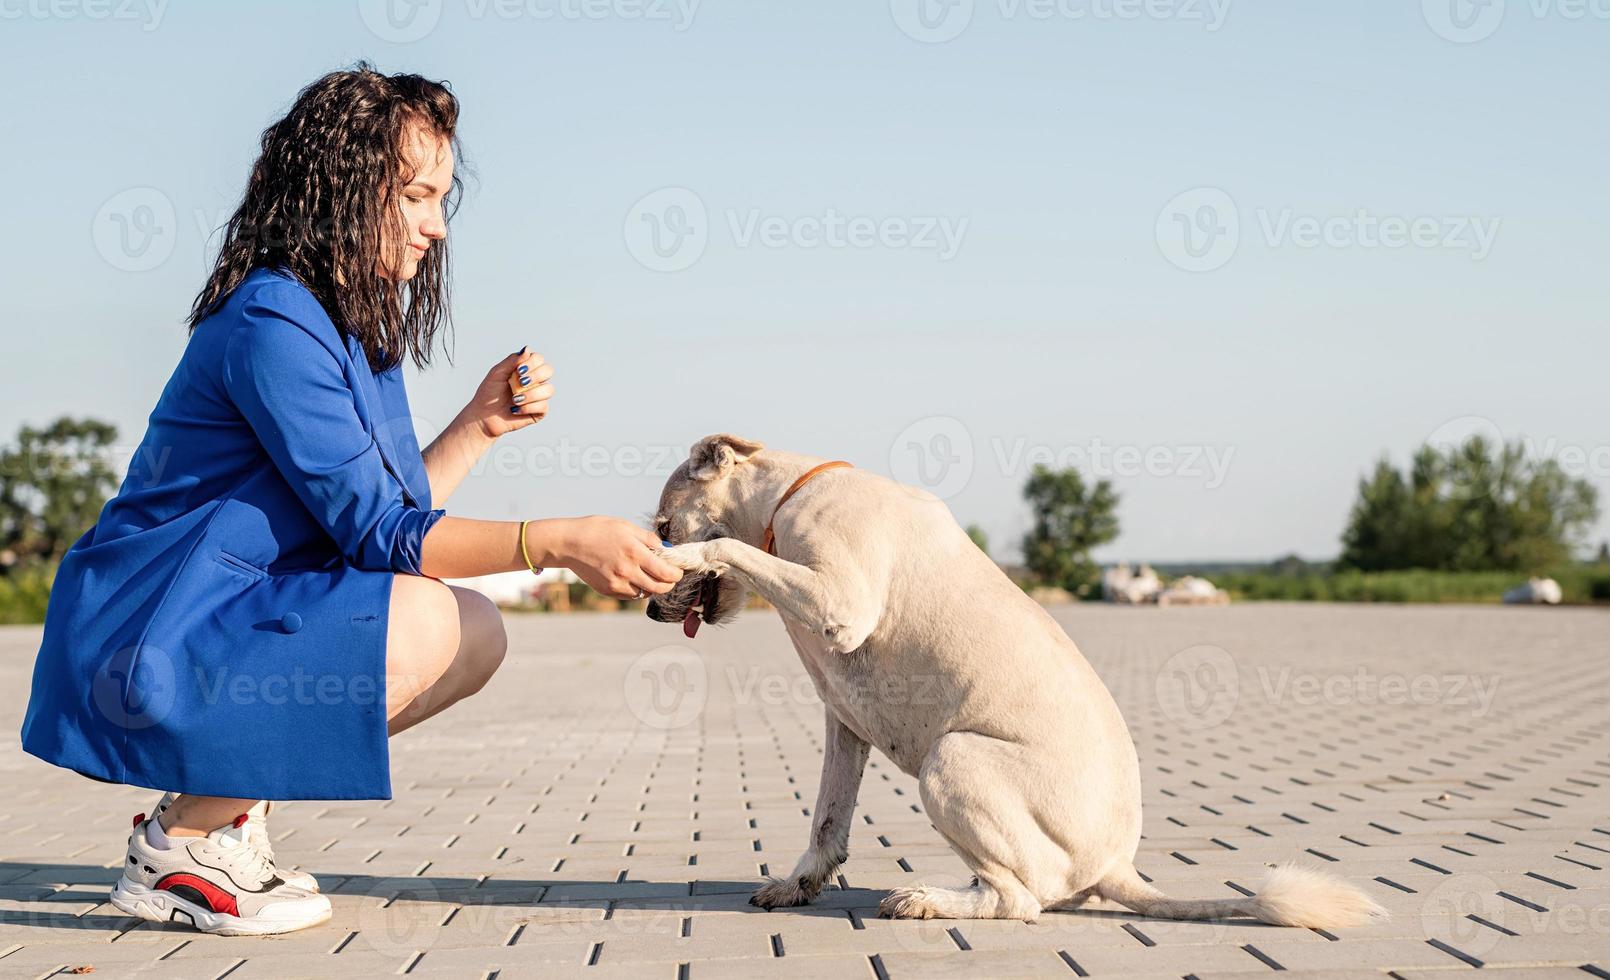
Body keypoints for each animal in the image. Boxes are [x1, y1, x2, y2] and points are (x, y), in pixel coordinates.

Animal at [647, 434, 1391, 926]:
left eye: (660, 525)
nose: (652, 610)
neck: (789, 501)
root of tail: (1115, 867)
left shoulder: (842, 604)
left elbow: (725, 545)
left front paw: (690, 554)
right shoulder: (845, 723)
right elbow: (828, 819)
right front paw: (798, 884)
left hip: (952, 759)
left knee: (1019, 900)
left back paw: (926, 899)